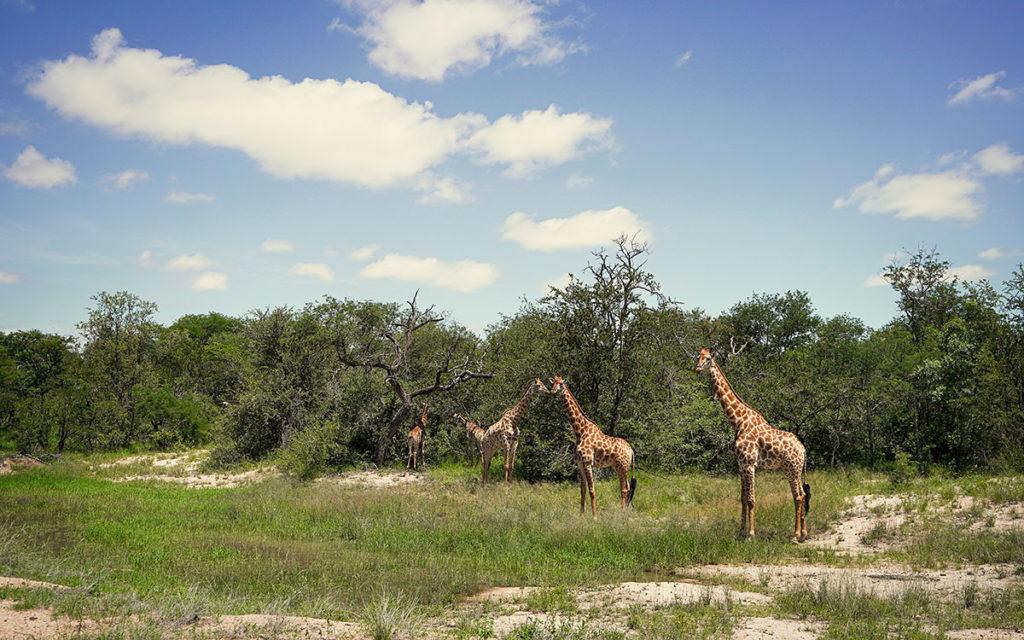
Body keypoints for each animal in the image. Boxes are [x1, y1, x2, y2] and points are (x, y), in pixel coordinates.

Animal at [547, 376, 636, 515]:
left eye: (561, 384)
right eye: (553, 383)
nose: (553, 391)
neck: (580, 432)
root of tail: (631, 450)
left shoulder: (588, 462)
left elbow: (592, 490)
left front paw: (594, 516)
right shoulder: (580, 463)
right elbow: (582, 491)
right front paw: (582, 515)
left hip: (623, 466)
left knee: (626, 488)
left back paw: (622, 512)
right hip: (618, 467)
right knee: (625, 487)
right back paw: (624, 510)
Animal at [695, 348, 810, 541]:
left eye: (708, 358)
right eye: (698, 357)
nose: (696, 368)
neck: (738, 421)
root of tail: (803, 449)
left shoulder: (749, 464)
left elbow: (751, 499)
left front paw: (750, 534)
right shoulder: (741, 465)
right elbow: (742, 498)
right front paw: (741, 532)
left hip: (792, 468)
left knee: (798, 497)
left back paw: (795, 535)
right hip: (793, 469)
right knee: (802, 494)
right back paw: (804, 534)